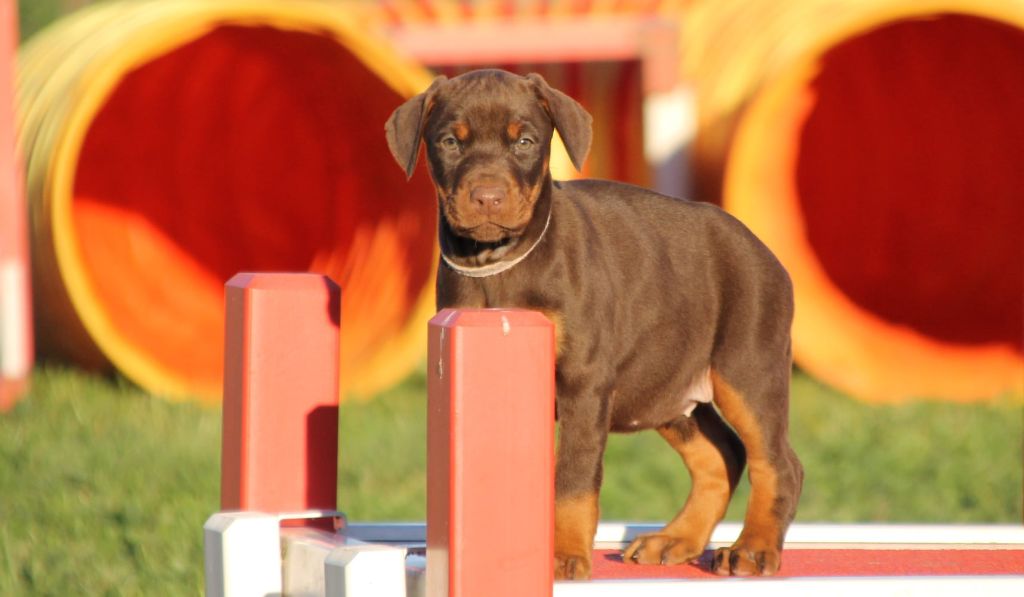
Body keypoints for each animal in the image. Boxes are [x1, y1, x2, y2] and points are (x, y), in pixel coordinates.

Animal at [387, 69, 802, 577]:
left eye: (524, 141)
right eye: (450, 141)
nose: (488, 197)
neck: (499, 263)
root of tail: (766, 253)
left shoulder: (584, 383)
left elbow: (573, 478)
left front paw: (564, 553)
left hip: (747, 369)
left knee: (776, 462)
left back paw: (753, 546)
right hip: (664, 387)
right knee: (722, 454)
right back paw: (676, 539)